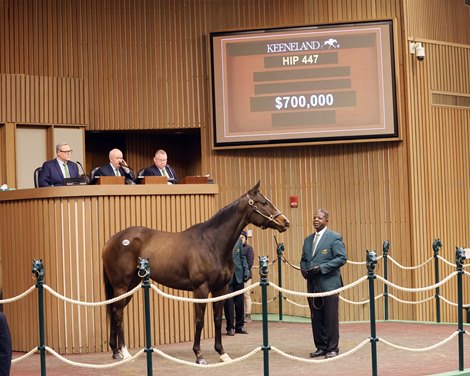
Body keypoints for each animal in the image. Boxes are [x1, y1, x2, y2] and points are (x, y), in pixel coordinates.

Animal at [101, 182, 288, 364]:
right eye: (263, 203)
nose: (285, 222)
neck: (212, 243)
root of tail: (111, 240)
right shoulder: (201, 290)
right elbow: (199, 321)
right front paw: (199, 355)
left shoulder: (220, 289)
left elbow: (217, 319)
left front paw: (222, 353)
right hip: (121, 285)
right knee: (118, 314)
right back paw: (125, 353)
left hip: (130, 286)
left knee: (114, 311)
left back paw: (116, 352)